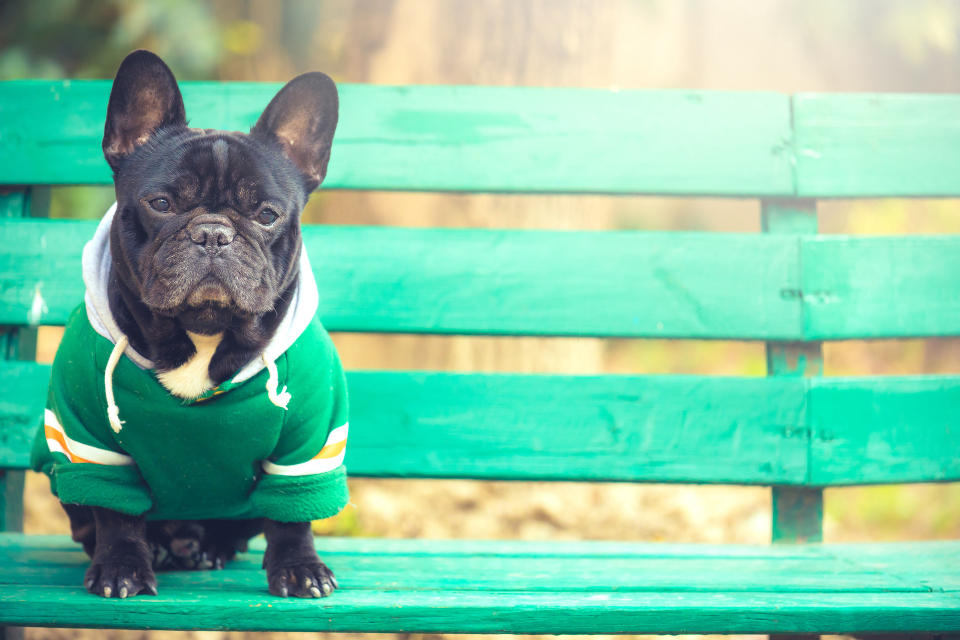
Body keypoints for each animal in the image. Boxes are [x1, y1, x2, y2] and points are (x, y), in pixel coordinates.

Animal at [34, 51, 348, 600]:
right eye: (161, 204)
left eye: (266, 214)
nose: (214, 234)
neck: (201, 336)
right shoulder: (89, 440)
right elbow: (116, 514)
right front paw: (122, 567)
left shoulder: (309, 442)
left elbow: (293, 514)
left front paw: (299, 567)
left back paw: (206, 548)